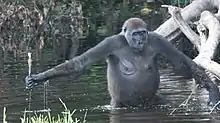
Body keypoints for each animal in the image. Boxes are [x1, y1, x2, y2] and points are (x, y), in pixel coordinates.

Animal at [25, 17, 220, 107]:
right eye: (135, 34)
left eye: (142, 33)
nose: (140, 40)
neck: (130, 43)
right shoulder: (110, 43)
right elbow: (81, 62)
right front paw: (39, 77)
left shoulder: (157, 40)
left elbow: (182, 62)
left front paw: (213, 92)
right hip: (118, 105)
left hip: (152, 101)